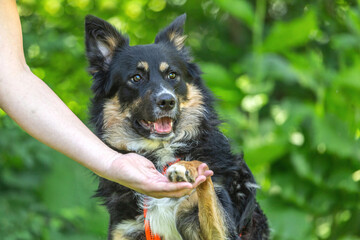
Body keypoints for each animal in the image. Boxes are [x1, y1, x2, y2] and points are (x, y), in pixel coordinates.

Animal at [86, 13, 268, 240]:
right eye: (136, 78)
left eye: (172, 75)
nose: (167, 101)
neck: (161, 152)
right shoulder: (124, 229)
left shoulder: (223, 231)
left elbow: (205, 181)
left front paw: (187, 168)